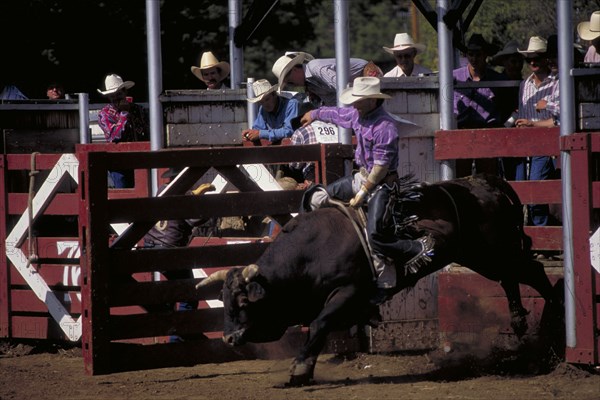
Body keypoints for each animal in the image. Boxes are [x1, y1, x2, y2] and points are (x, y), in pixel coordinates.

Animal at [199, 174, 560, 384]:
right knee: (511, 278)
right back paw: (521, 323)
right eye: (225, 300)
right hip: (481, 256)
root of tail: (488, 183)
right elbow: (318, 326)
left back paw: (549, 329)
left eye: (243, 301)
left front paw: (300, 369)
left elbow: (319, 324)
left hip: (496, 249)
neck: (311, 252)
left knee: (533, 273)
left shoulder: (348, 291)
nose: (228, 338)